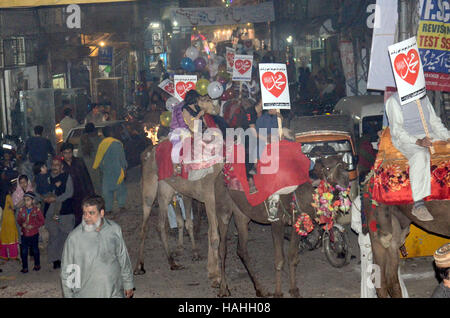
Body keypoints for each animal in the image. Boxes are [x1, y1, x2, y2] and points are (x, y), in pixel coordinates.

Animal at [134, 145, 225, 286]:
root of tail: (146, 153)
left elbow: (207, 230)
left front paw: (210, 270)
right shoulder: (208, 195)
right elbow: (214, 237)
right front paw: (216, 277)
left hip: (166, 190)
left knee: (159, 225)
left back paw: (171, 262)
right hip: (149, 188)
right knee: (147, 224)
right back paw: (142, 266)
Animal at [214, 157, 348, 298]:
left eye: (345, 165)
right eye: (327, 168)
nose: (345, 180)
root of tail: (221, 173)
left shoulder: (297, 224)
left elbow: (292, 257)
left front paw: (294, 290)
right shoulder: (277, 223)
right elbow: (279, 260)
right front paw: (278, 292)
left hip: (242, 215)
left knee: (242, 249)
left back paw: (260, 289)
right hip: (223, 209)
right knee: (222, 248)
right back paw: (223, 289)